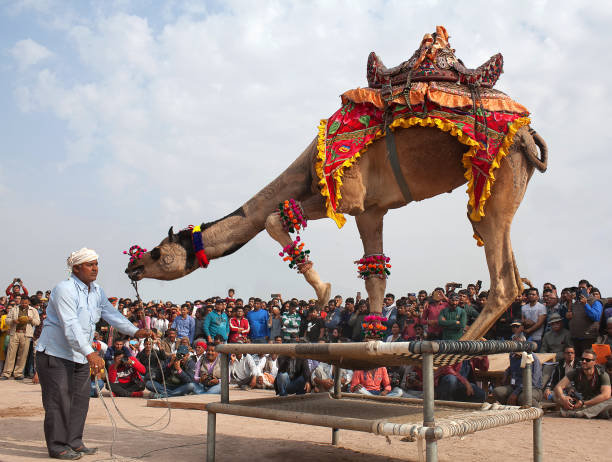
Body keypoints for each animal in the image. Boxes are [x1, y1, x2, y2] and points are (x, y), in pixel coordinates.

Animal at [123, 121, 544, 342]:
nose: (132, 268)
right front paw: (372, 345)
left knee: (502, 280)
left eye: (158, 252)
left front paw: (323, 294)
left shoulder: (346, 196)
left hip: (496, 178)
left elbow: (274, 218)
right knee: (511, 271)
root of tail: (528, 137)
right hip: (503, 189)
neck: (308, 163)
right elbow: (375, 273)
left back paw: (453, 355)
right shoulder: (371, 209)